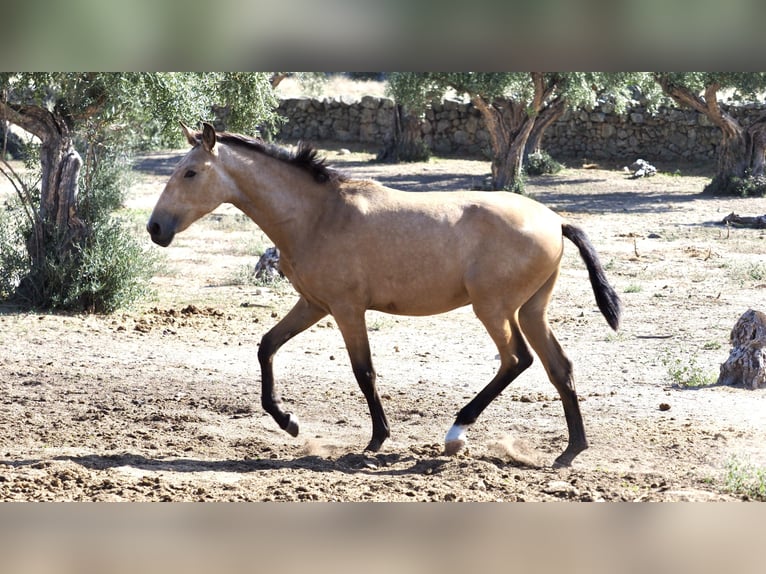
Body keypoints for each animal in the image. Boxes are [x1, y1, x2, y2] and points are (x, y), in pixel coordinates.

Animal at [147, 121, 620, 468]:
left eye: (190, 172)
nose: (155, 228)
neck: (317, 215)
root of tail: (556, 220)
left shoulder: (346, 309)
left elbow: (364, 372)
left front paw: (377, 439)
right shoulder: (313, 304)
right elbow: (266, 346)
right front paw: (289, 422)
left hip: (494, 309)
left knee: (517, 360)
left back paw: (456, 433)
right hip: (530, 310)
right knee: (559, 367)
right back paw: (570, 452)